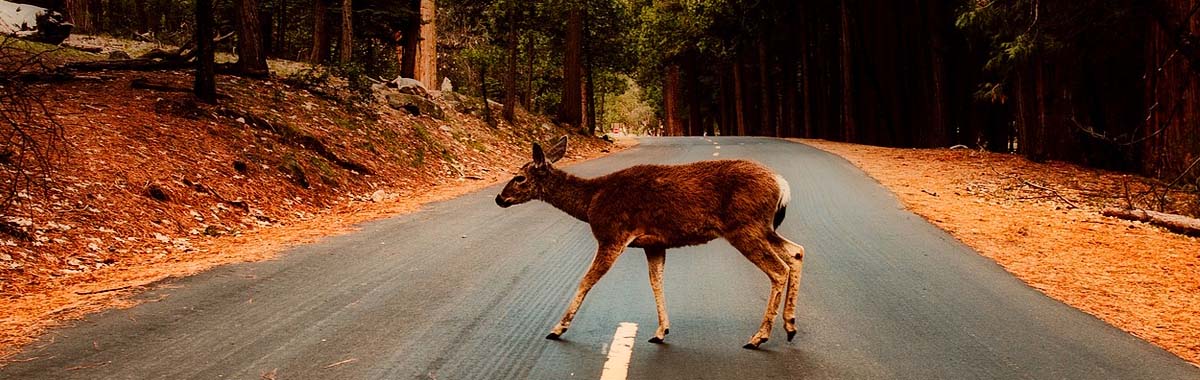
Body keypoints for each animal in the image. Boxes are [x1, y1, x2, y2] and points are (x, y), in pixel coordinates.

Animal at [496, 134, 806, 347]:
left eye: (519, 178)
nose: (500, 198)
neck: (591, 201)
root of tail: (782, 184)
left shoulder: (613, 235)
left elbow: (586, 280)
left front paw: (557, 328)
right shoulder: (654, 243)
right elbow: (656, 281)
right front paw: (661, 331)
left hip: (744, 227)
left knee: (779, 269)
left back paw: (759, 337)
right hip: (762, 227)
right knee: (796, 252)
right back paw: (790, 327)